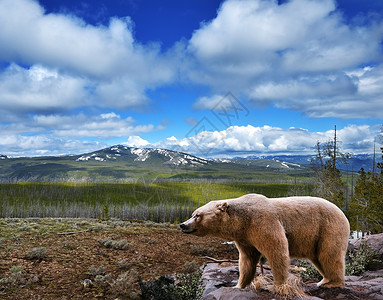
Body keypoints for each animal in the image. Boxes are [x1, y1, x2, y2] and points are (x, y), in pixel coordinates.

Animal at [180, 193, 352, 294]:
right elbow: (247, 260)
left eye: (197, 215)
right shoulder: (244, 237)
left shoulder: (262, 222)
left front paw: (277, 286)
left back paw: (332, 283)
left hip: (328, 228)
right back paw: (324, 280)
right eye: (193, 213)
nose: (182, 225)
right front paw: (238, 285)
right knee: (318, 258)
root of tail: (342, 213)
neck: (242, 221)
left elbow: (277, 251)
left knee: (329, 255)